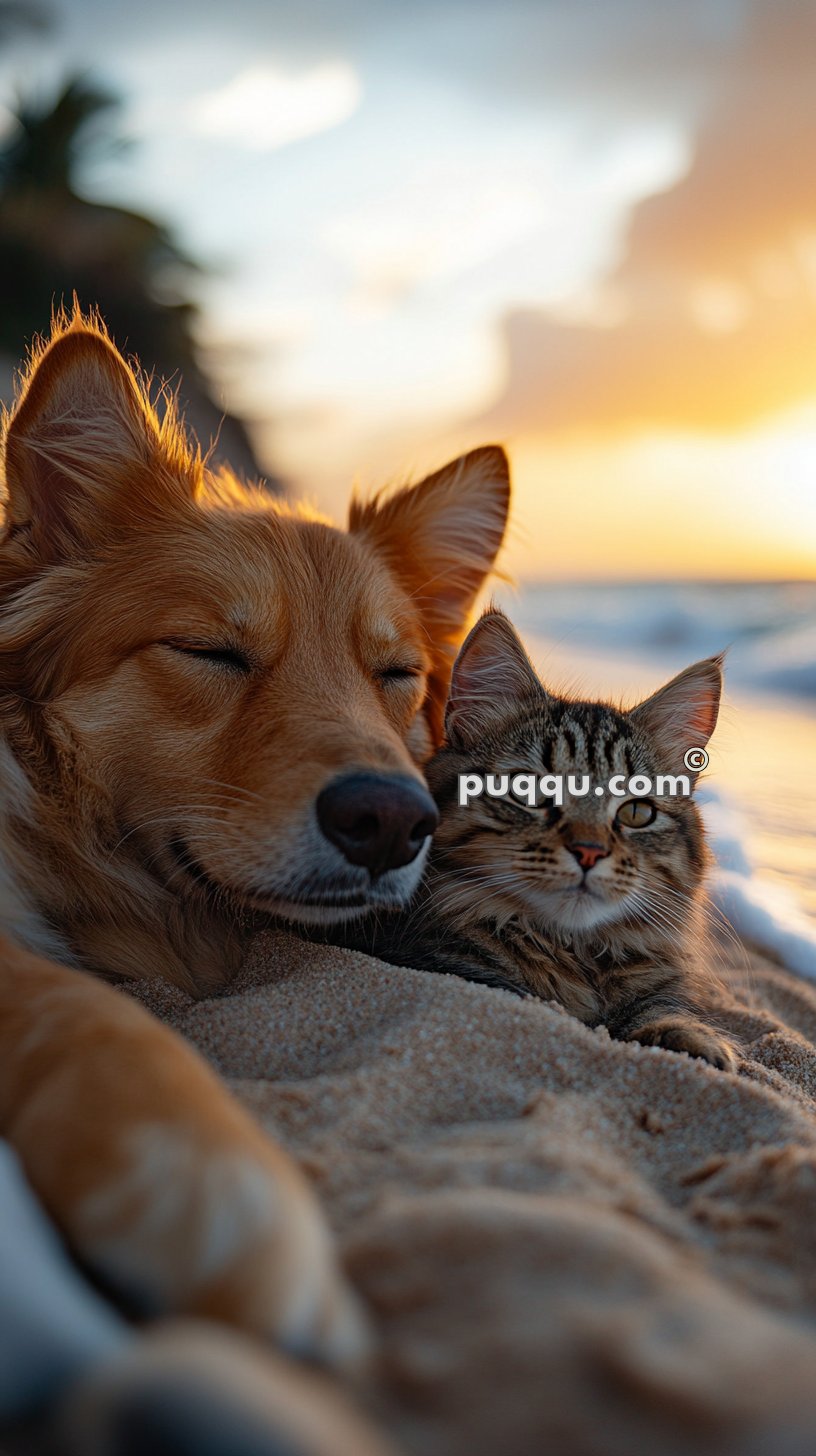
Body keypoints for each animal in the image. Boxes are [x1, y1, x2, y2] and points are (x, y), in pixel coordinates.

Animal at [354, 608, 737, 1077]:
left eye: (635, 813)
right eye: (531, 792)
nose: (590, 851)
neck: (571, 952)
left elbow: (660, 1010)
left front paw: (690, 1039)